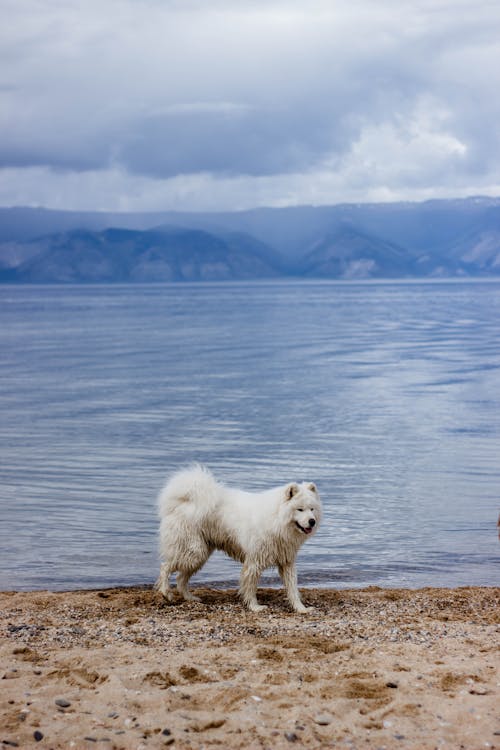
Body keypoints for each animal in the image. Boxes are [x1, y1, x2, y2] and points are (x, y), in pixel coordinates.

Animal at [155, 464, 320, 616]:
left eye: (312, 509)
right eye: (300, 509)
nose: (312, 521)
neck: (277, 520)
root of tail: (182, 502)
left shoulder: (287, 562)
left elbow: (293, 589)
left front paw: (301, 609)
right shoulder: (254, 562)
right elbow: (250, 588)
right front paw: (255, 607)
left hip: (199, 554)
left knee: (181, 578)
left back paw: (189, 598)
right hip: (193, 551)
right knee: (165, 567)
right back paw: (166, 593)